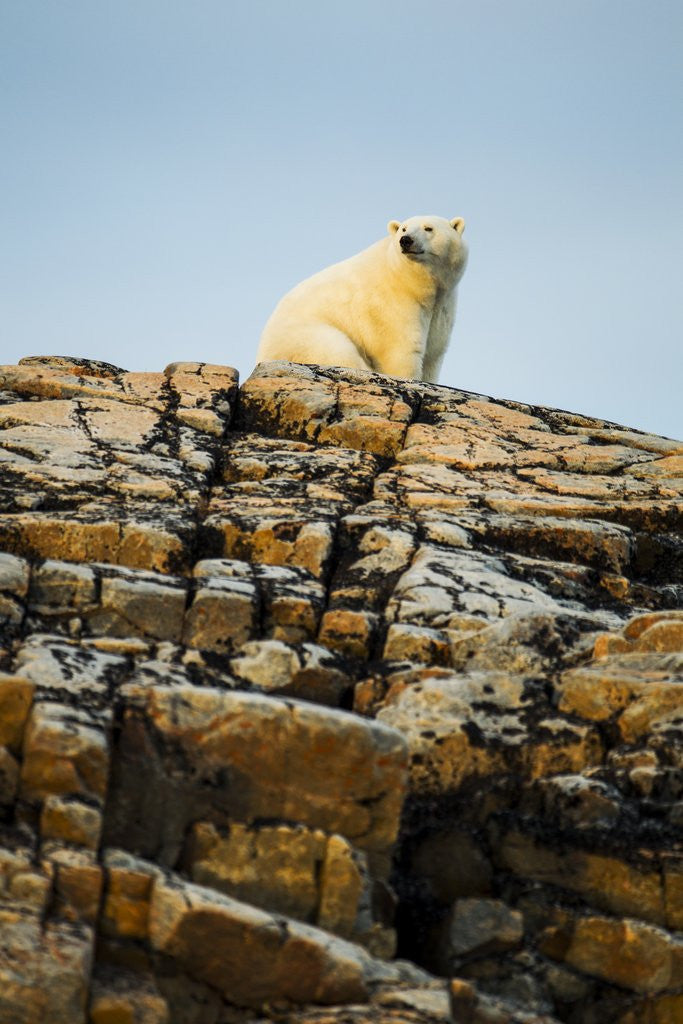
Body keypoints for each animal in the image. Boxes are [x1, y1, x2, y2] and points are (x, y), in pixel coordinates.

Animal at [256, 214, 467, 383]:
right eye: (403, 228)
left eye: (428, 228)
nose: (405, 240)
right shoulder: (391, 304)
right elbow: (402, 350)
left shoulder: (442, 306)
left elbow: (433, 352)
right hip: (306, 337)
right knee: (338, 350)